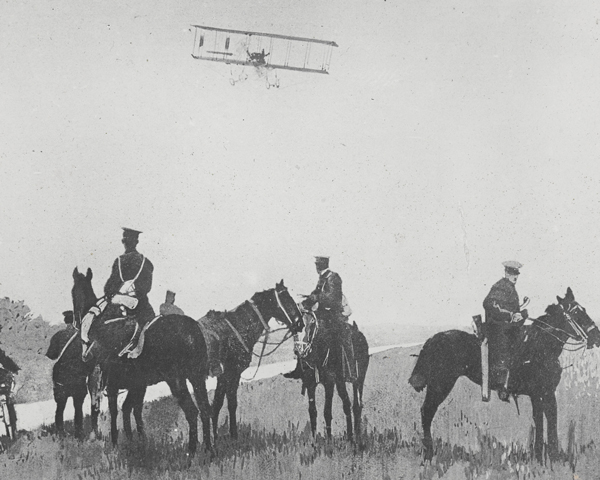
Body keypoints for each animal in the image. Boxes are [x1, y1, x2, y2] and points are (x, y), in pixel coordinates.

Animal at [72, 266, 213, 454]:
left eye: (74, 292)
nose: (76, 321)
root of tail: (190, 329)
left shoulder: (113, 385)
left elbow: (115, 411)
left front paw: (116, 443)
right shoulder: (137, 385)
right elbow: (131, 409)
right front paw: (137, 442)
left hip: (176, 380)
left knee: (191, 411)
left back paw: (191, 453)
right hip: (196, 377)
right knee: (205, 409)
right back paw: (209, 450)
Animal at [408, 286, 600, 464]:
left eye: (583, 309)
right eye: (577, 312)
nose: (596, 337)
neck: (540, 346)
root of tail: (433, 339)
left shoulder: (543, 394)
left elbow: (545, 420)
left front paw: (546, 457)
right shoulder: (541, 394)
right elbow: (545, 420)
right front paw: (546, 457)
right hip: (440, 384)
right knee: (427, 411)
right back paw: (428, 455)